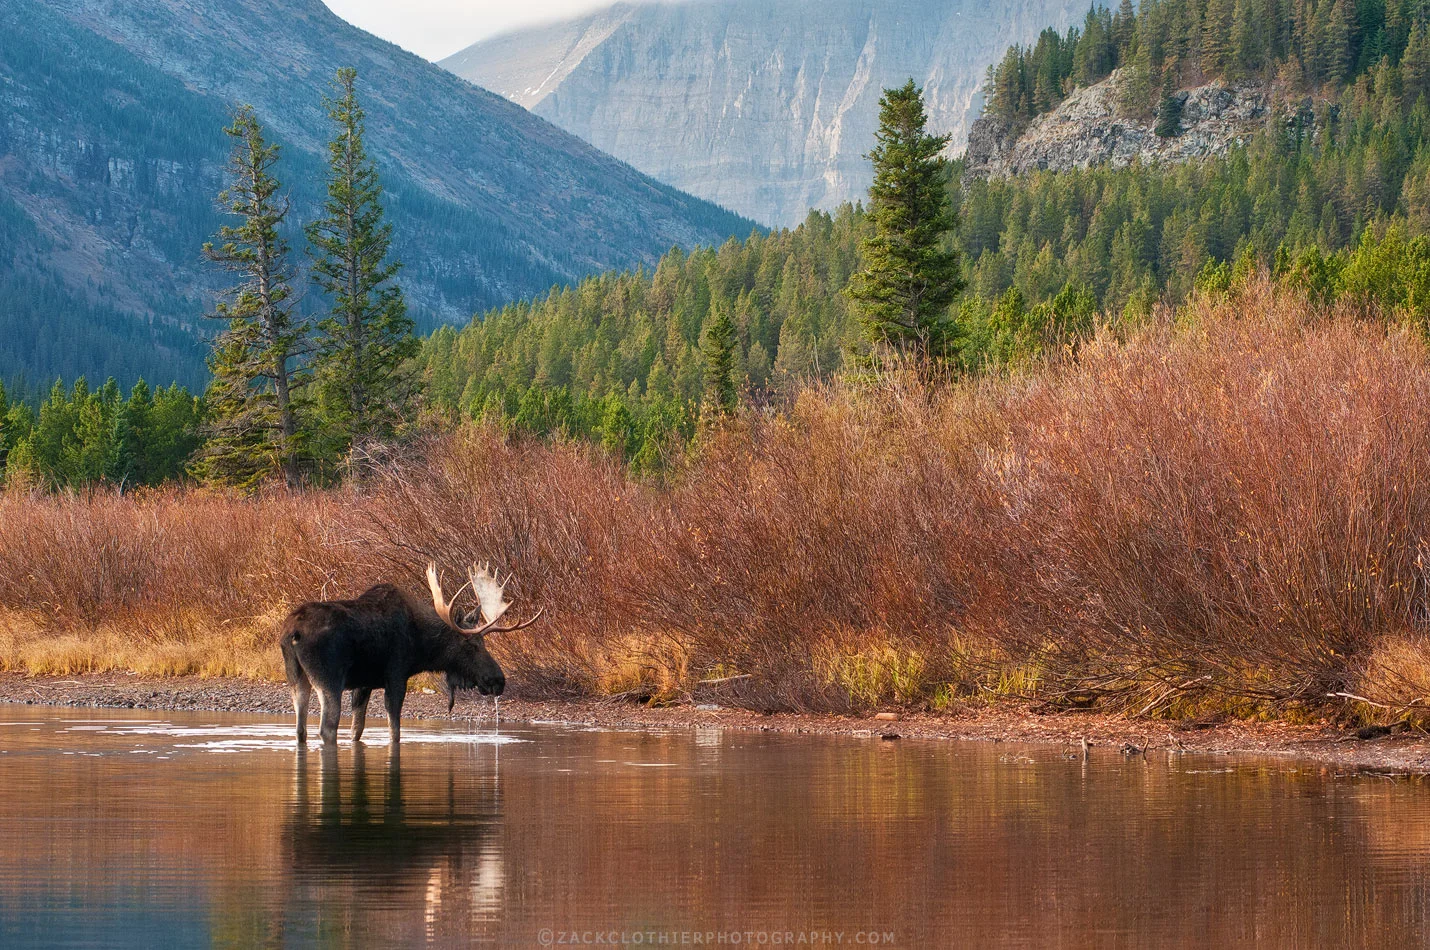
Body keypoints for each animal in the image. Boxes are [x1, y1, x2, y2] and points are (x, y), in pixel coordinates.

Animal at [279, 562, 542, 745]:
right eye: (472, 644)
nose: (498, 680)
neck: (422, 646)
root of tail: (293, 633)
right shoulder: (396, 675)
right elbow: (395, 732)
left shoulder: (363, 684)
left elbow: (357, 729)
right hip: (329, 680)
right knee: (327, 728)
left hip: (296, 678)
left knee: (300, 727)